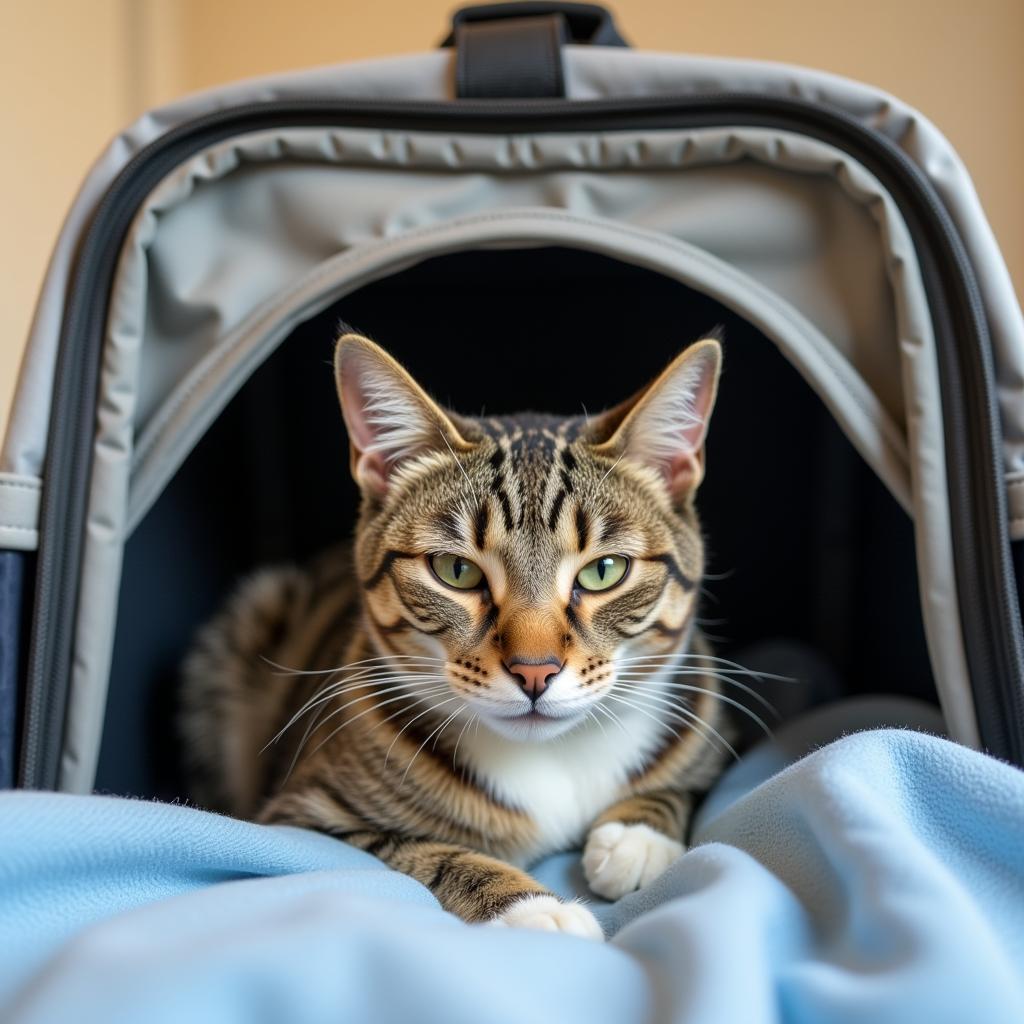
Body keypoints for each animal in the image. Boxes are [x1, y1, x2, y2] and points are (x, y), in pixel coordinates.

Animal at [180, 331, 733, 937]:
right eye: (456, 570)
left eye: (604, 571)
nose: (534, 671)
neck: (553, 756)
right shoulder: (305, 817)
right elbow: (425, 854)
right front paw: (534, 908)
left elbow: (686, 784)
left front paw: (637, 835)